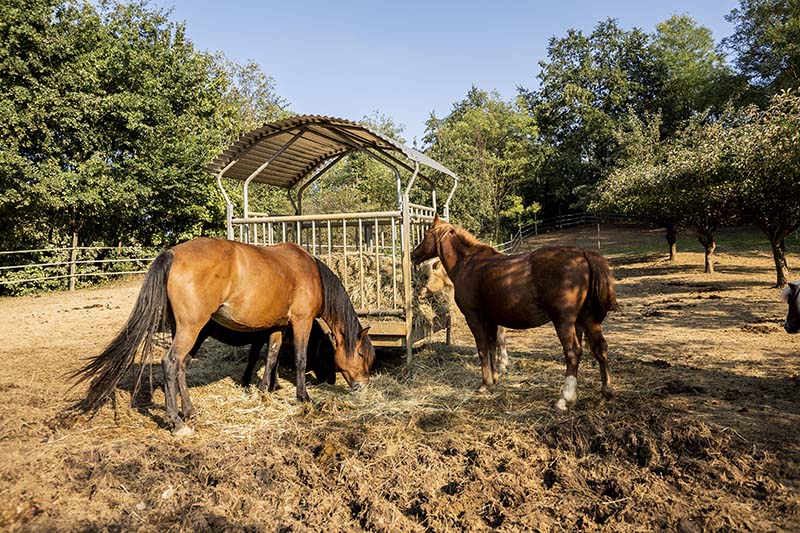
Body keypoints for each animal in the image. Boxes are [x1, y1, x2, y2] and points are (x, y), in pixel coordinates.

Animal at [71, 237, 374, 434]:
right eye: (360, 354)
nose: (362, 385)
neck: (309, 271)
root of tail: (173, 253)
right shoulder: (301, 322)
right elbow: (299, 359)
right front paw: (304, 398)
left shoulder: (277, 327)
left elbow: (271, 357)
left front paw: (264, 391)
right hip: (192, 328)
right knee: (171, 363)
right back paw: (176, 422)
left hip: (187, 329)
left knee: (181, 366)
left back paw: (189, 410)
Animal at [411, 215, 618, 411]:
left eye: (426, 234)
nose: (413, 255)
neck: (468, 264)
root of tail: (583, 254)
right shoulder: (491, 319)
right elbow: (492, 346)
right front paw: (494, 378)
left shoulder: (475, 317)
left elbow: (482, 348)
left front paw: (484, 384)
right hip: (587, 319)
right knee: (600, 348)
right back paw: (606, 391)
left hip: (564, 321)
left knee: (573, 352)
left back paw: (564, 399)